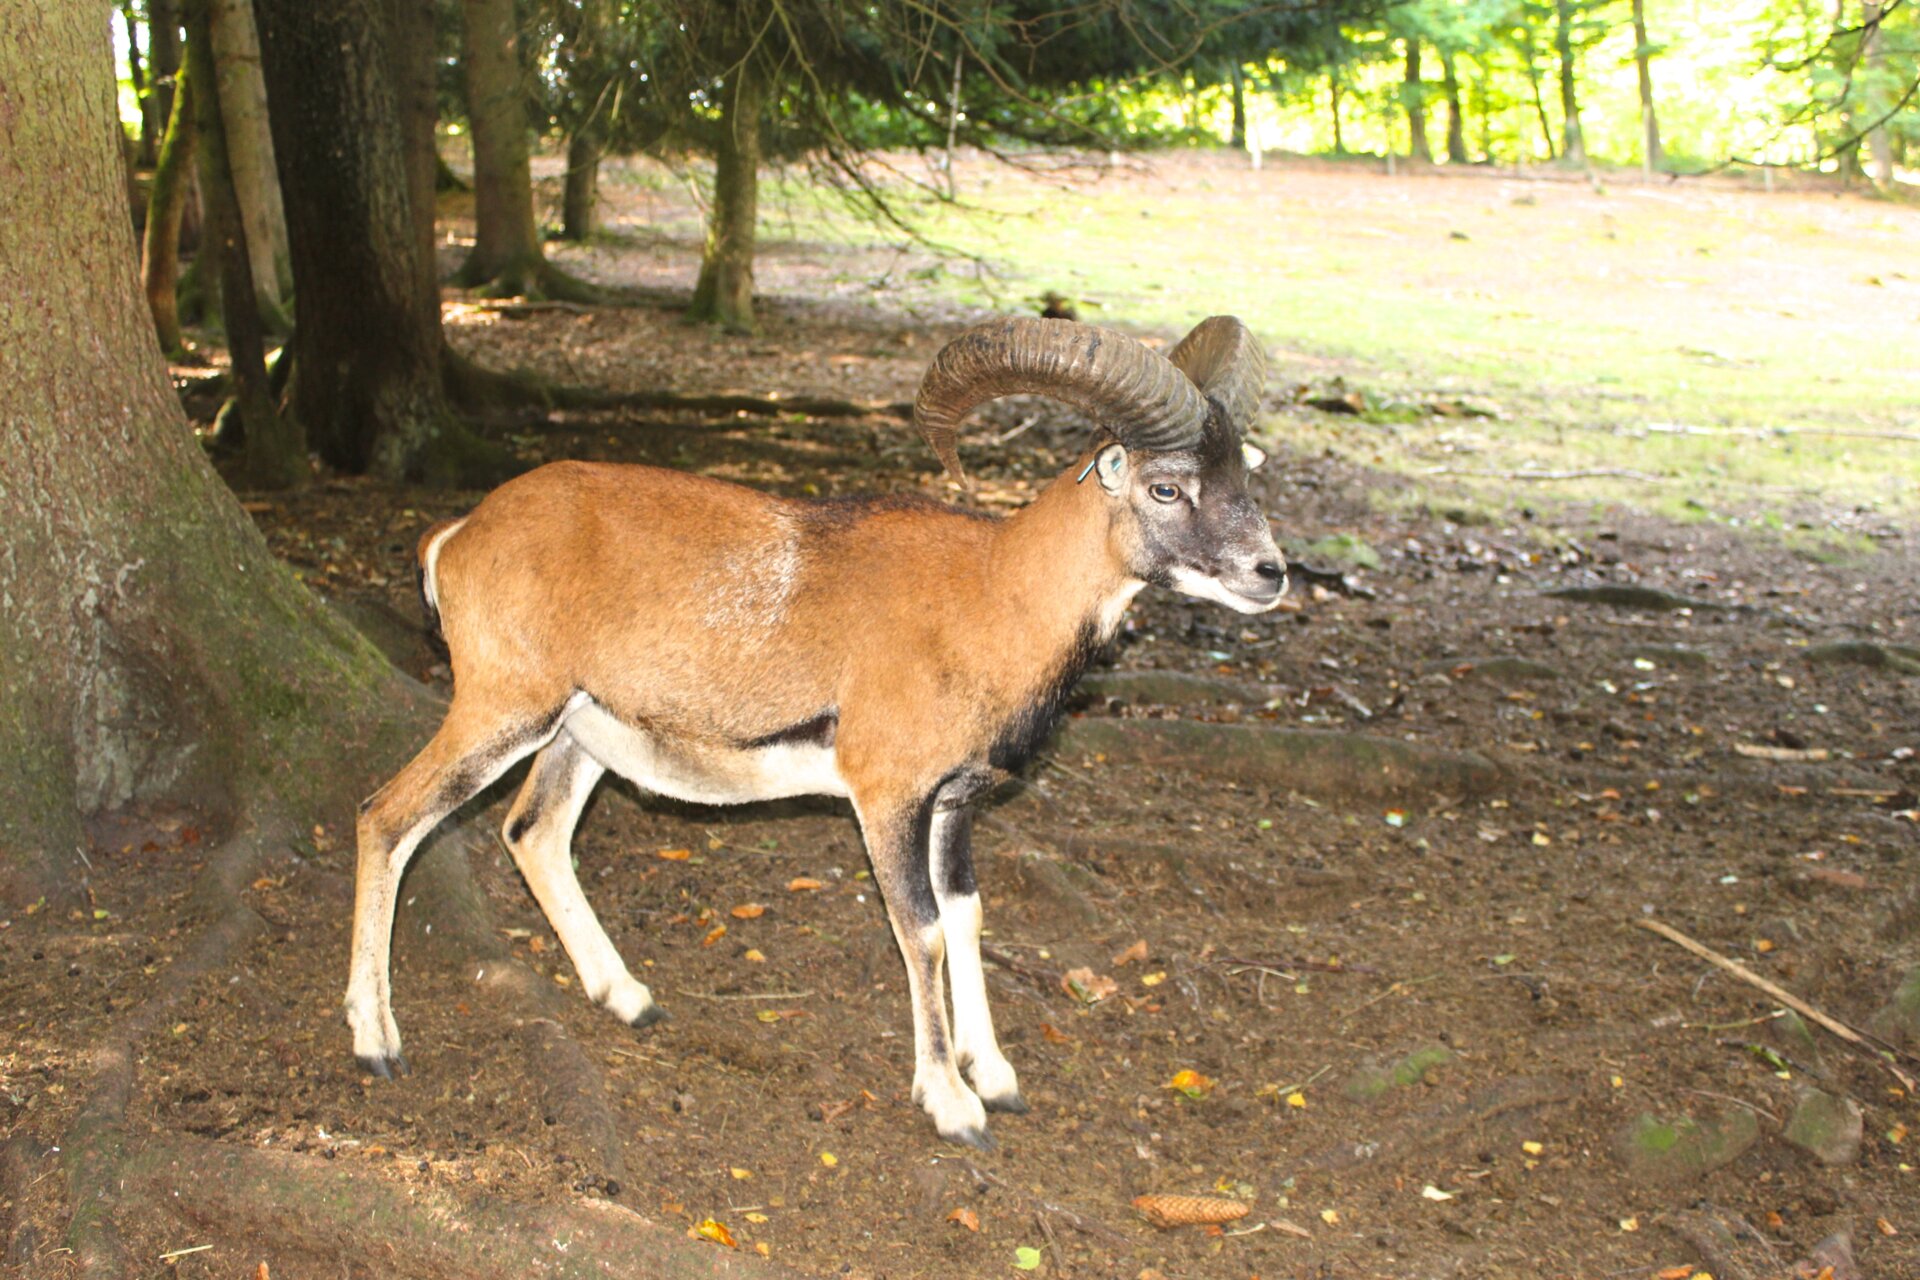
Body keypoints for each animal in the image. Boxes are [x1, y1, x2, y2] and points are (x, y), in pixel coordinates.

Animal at [346, 316, 1285, 1147]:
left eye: (1247, 481)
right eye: (1166, 487)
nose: (1271, 574)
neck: (991, 598)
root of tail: (459, 537)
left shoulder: (954, 806)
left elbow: (968, 916)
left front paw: (997, 1076)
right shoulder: (888, 797)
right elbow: (921, 929)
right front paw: (952, 1106)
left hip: (581, 733)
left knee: (532, 831)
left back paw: (629, 998)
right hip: (501, 707)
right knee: (386, 816)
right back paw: (376, 1042)